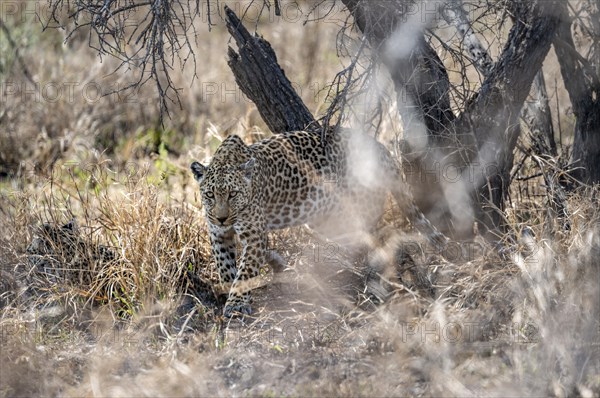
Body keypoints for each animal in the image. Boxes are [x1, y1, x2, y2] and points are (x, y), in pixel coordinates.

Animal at [190, 127, 448, 318]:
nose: (221, 217)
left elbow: (244, 270)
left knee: (383, 236)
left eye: (232, 194)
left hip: (357, 212)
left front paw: (236, 304)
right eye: (210, 195)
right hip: (324, 219)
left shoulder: (253, 234)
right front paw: (230, 289)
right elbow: (225, 265)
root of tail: (379, 147)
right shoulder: (218, 234)